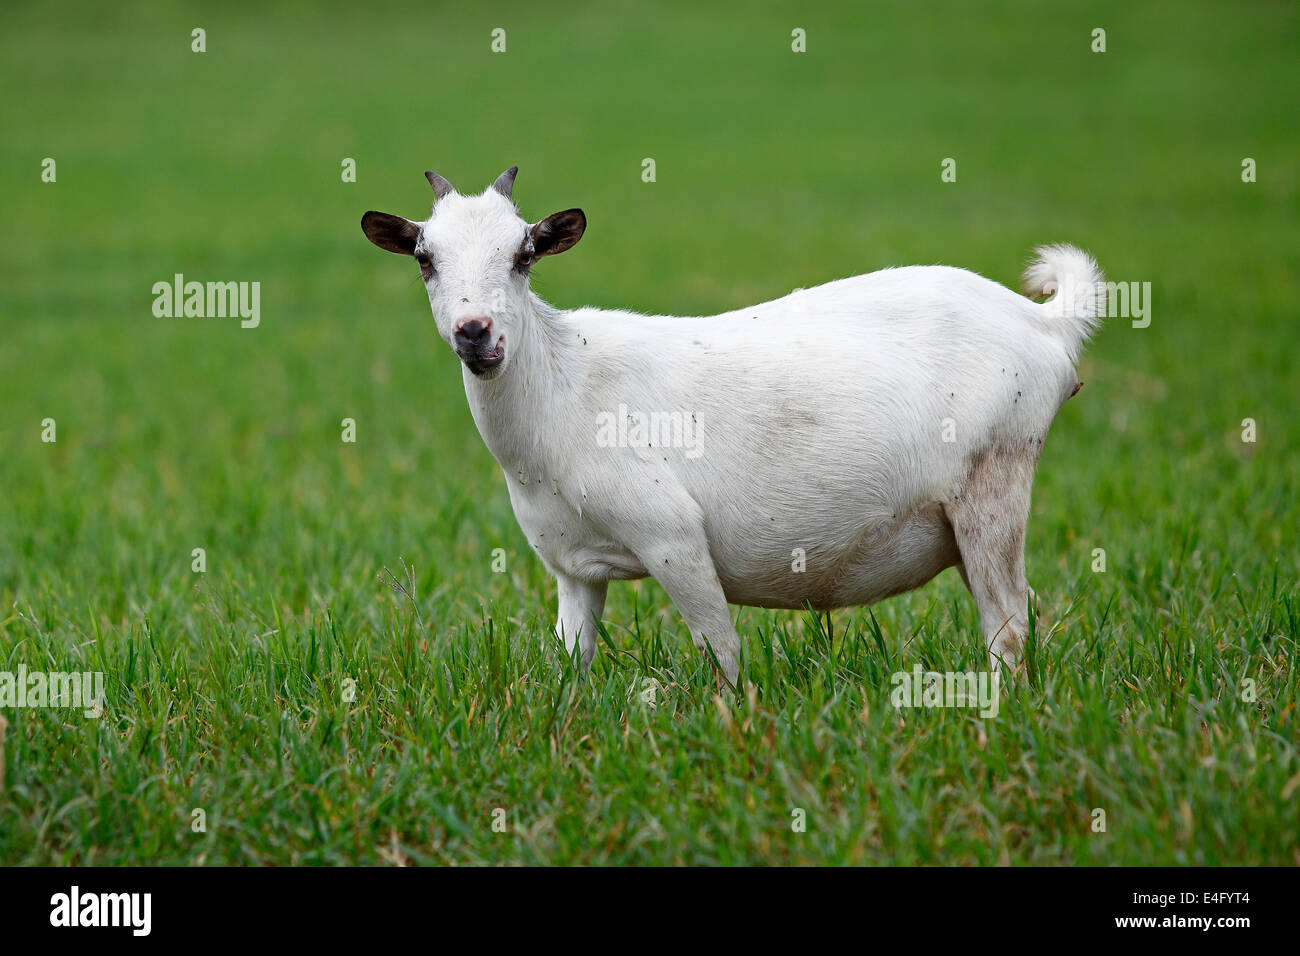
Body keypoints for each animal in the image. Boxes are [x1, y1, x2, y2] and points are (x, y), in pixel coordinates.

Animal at [361, 167, 1102, 686]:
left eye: (524, 254)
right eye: (424, 258)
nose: (475, 332)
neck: (566, 384)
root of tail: (1045, 324)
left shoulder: (672, 537)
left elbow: (722, 652)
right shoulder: (573, 567)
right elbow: (570, 662)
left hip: (992, 482)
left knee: (1008, 628)